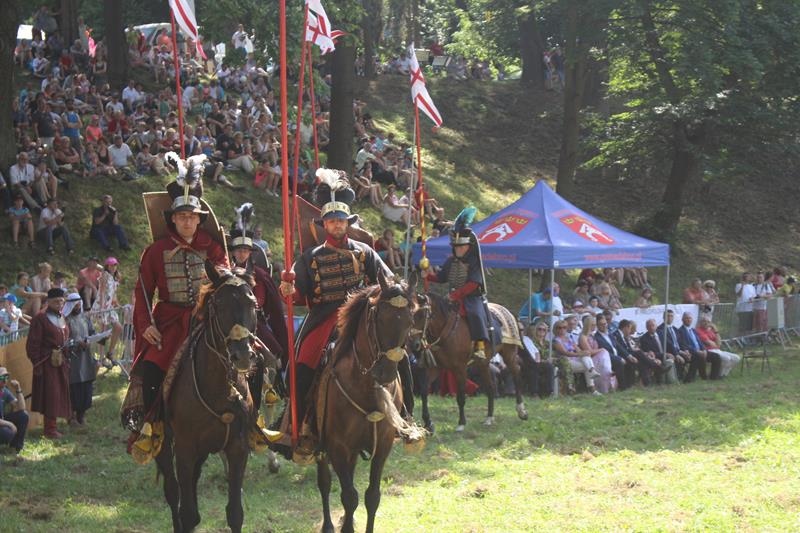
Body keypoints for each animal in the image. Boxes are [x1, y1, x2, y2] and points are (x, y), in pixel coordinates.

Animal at [155, 263, 260, 533]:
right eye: (219, 305)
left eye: (252, 304)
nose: (242, 356)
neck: (219, 387)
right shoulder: (185, 448)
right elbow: (187, 512)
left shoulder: (237, 449)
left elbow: (235, 513)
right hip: (165, 442)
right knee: (173, 492)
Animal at [315, 271, 425, 533]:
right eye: (380, 317)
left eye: (409, 321)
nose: (385, 373)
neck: (364, 385)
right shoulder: (337, 447)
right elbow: (349, 496)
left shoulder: (382, 446)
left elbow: (372, 496)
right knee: (324, 482)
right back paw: (328, 525)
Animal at [411, 291, 528, 433]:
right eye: (411, 314)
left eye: (423, 315)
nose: (414, 344)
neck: (446, 331)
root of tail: (507, 312)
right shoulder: (436, 368)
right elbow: (424, 391)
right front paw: (428, 423)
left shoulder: (460, 369)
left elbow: (461, 396)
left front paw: (461, 423)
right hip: (483, 363)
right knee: (490, 387)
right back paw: (489, 417)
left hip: (509, 353)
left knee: (516, 375)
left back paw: (521, 411)